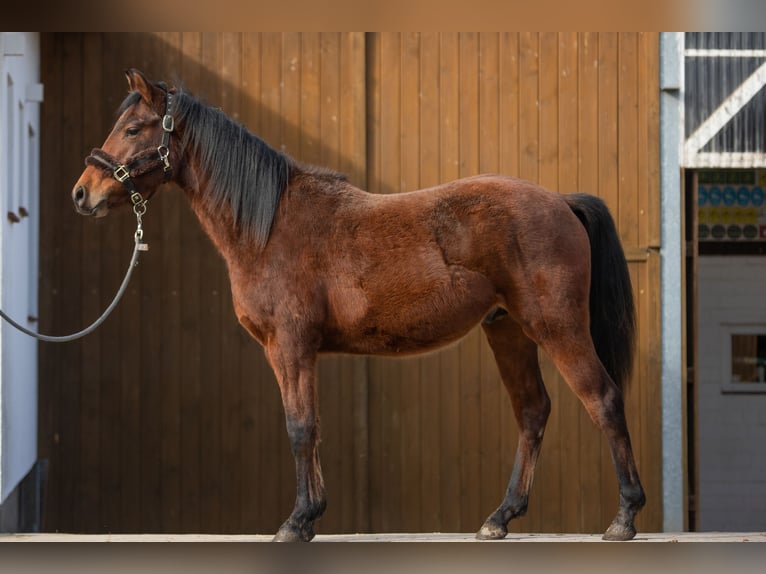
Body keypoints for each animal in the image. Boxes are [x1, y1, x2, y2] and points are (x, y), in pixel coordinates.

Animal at [73, 68, 648, 544]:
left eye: (134, 128)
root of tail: (560, 201)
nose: (82, 194)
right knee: (532, 411)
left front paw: (297, 521)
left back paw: (623, 517)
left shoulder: (291, 347)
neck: (270, 226)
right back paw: (499, 518)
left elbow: (301, 428)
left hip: (556, 327)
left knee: (602, 399)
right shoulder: (289, 352)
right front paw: (309, 516)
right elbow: (307, 426)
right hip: (508, 331)